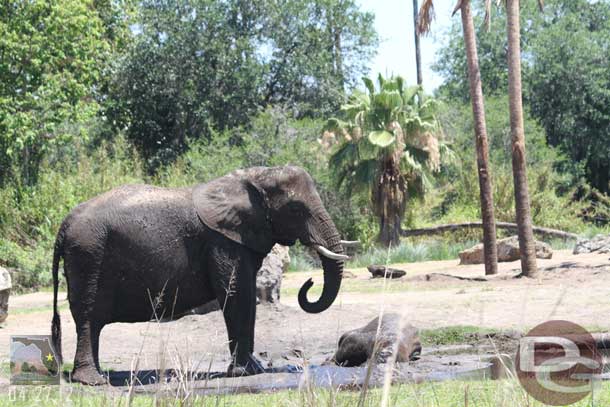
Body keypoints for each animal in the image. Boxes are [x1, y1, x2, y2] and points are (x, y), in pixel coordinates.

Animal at [51, 166, 346, 386]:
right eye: (296, 209)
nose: (309, 282)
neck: (253, 177)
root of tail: (64, 224)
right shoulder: (223, 242)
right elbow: (237, 293)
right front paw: (245, 373)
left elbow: (245, 295)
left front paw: (255, 369)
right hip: (88, 254)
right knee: (89, 316)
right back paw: (93, 381)